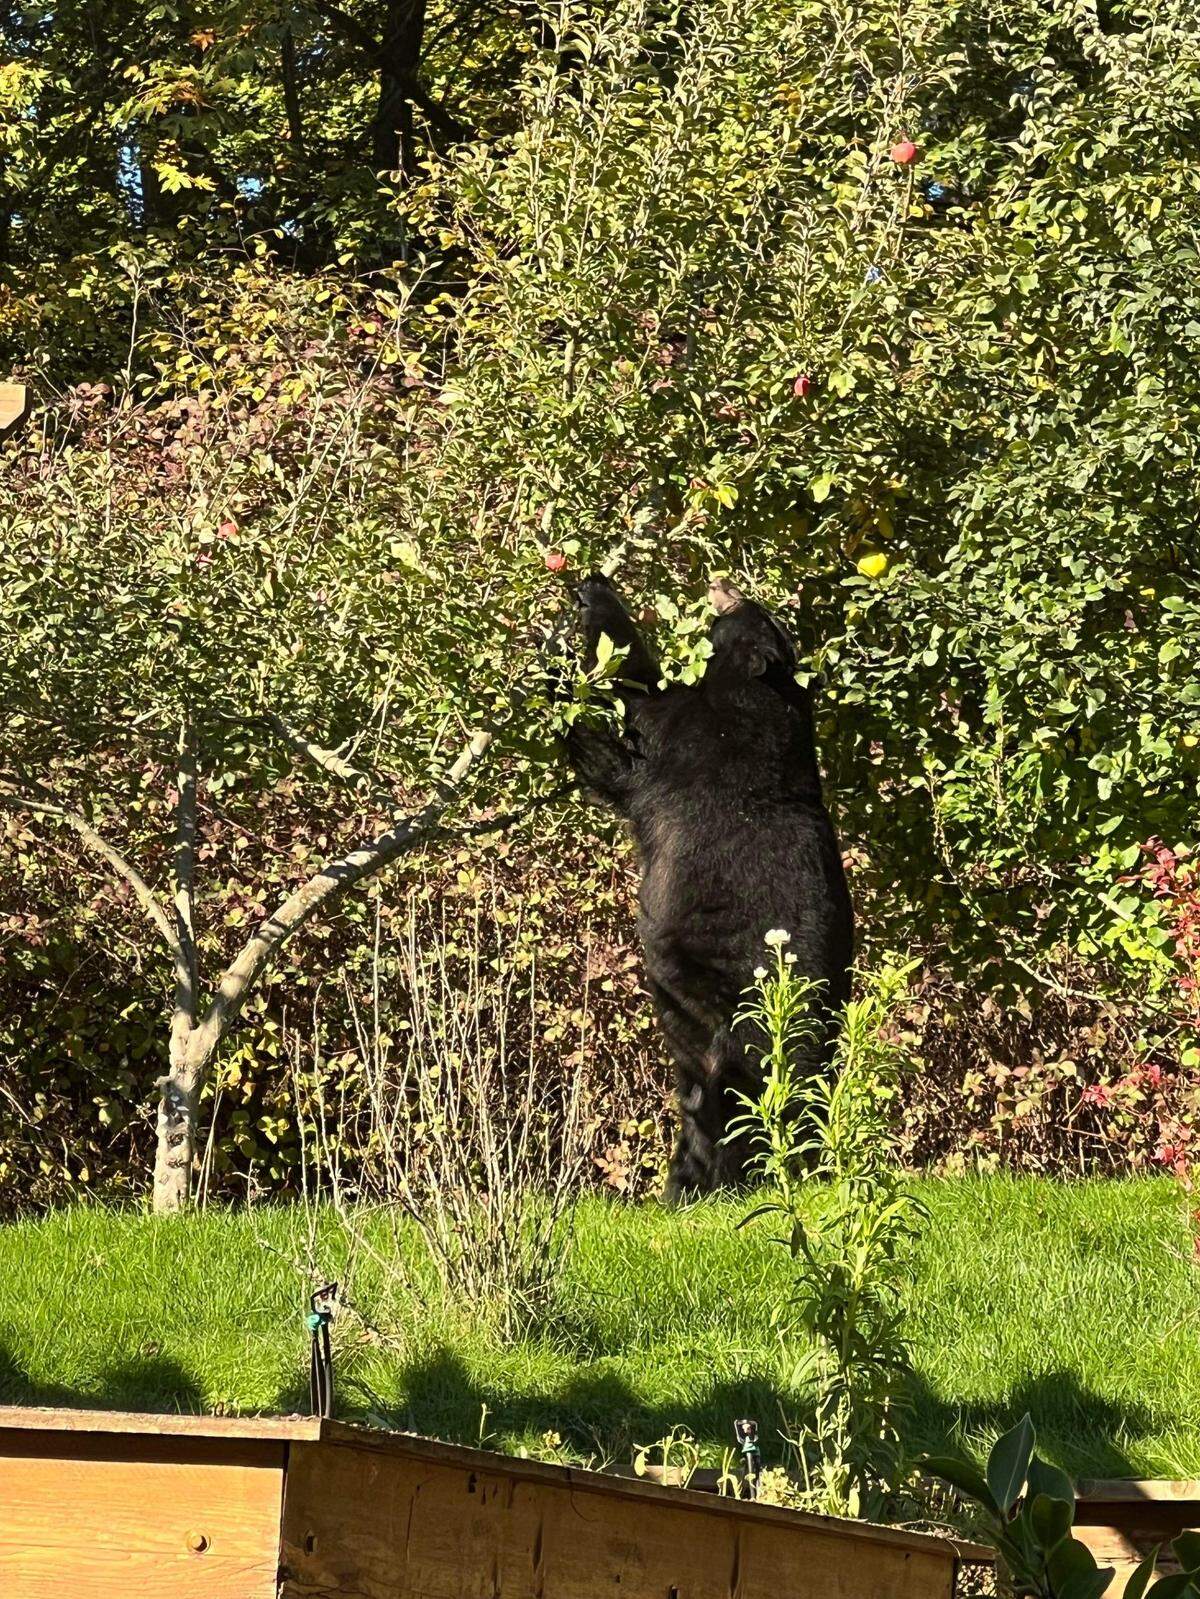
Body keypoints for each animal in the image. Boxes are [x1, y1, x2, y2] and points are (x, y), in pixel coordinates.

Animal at [564, 573, 854, 1199]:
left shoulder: (708, 736)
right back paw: (688, 1189)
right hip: (696, 1038)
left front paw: (597, 598)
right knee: (704, 1109)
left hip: (763, 1022)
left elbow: (647, 697)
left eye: (757, 610)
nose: (729, 584)